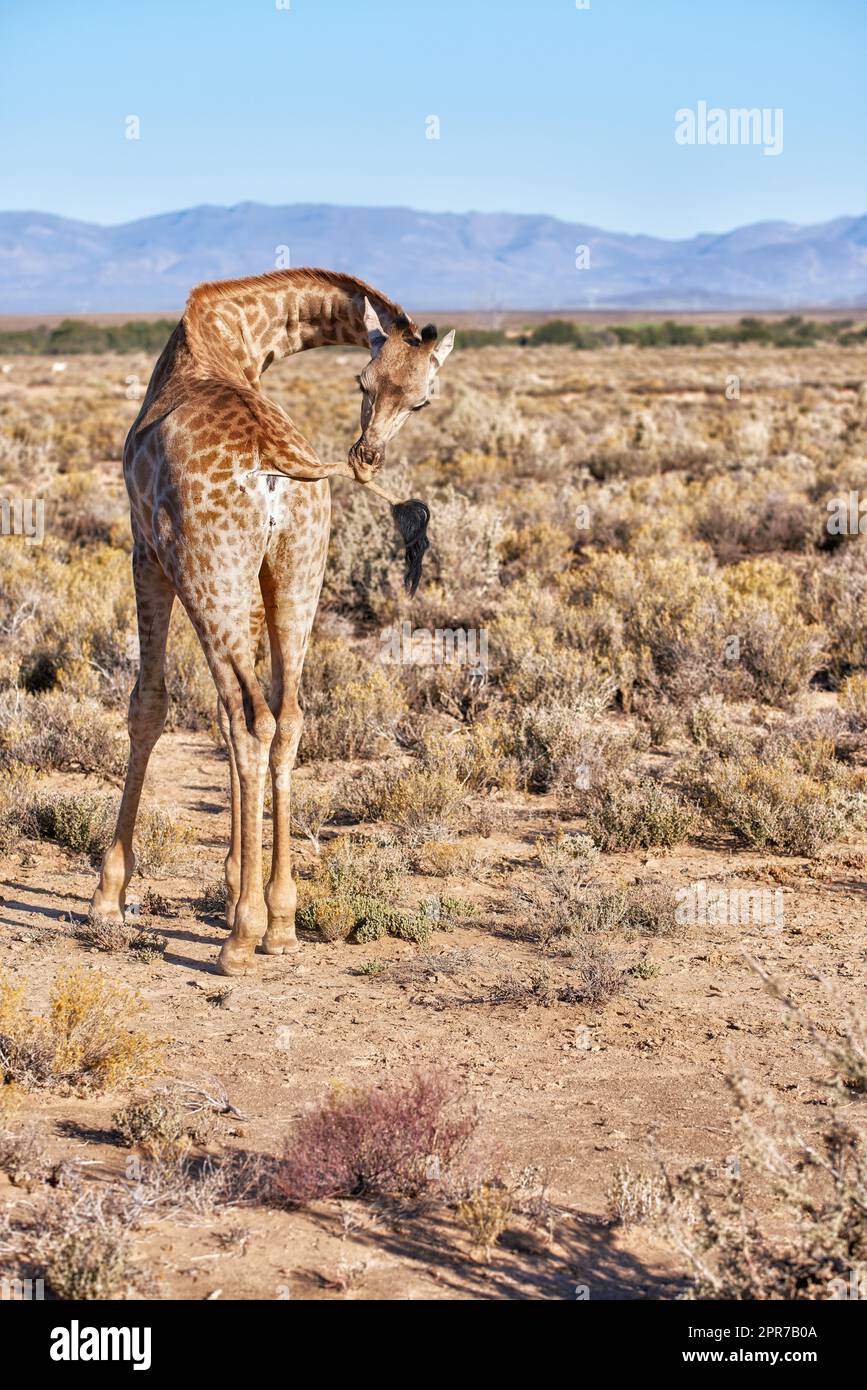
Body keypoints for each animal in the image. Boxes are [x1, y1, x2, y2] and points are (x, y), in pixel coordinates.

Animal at [91, 268, 458, 978]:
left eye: (423, 401)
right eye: (364, 381)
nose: (367, 455)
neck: (230, 339)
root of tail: (280, 472)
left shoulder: (144, 551)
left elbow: (149, 705)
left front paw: (108, 895)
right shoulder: (256, 584)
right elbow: (228, 715)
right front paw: (236, 876)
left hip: (208, 572)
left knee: (248, 717)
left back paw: (242, 937)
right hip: (296, 577)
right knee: (284, 718)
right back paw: (282, 920)